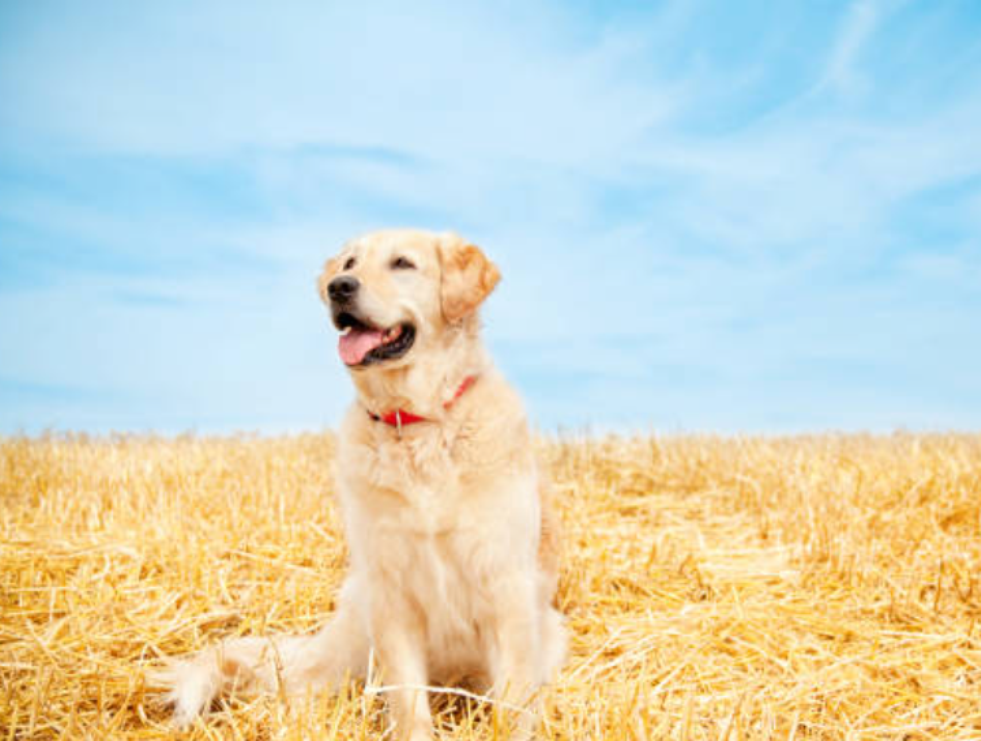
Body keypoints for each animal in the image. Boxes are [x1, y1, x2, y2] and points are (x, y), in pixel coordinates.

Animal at [161, 230, 568, 740]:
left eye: (402, 264)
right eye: (349, 263)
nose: (340, 287)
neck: (416, 425)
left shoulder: (505, 585)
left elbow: (513, 703)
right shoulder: (390, 590)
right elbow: (409, 701)